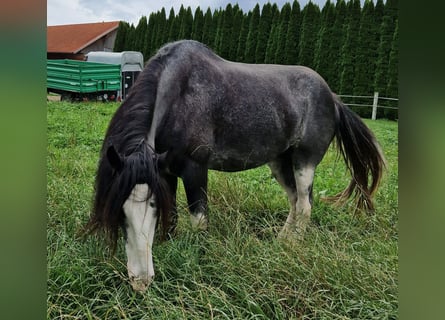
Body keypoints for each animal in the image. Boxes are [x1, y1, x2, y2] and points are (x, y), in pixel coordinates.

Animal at [86, 40, 386, 292]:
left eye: (151, 206)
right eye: (120, 211)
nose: (141, 281)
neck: (179, 96)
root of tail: (333, 98)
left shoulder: (195, 169)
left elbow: (199, 221)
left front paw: (200, 257)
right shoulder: (164, 172)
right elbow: (172, 219)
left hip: (305, 161)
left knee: (304, 206)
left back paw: (291, 247)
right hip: (280, 162)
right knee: (294, 202)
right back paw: (280, 242)